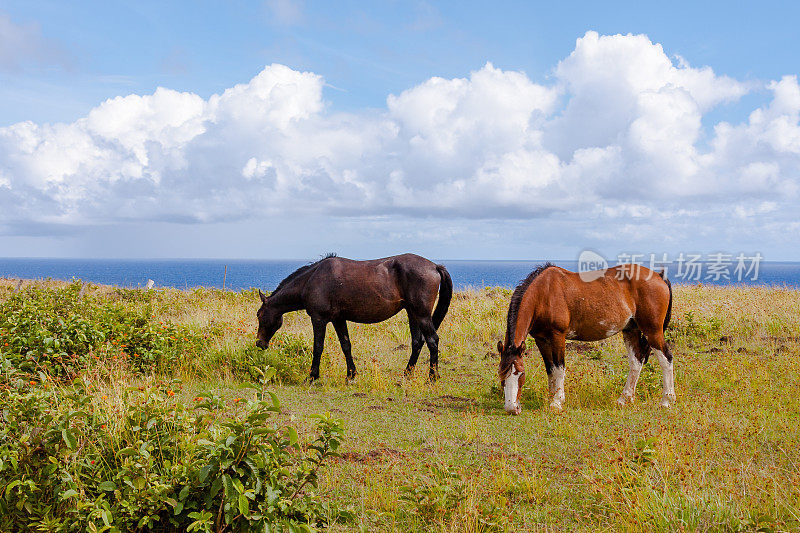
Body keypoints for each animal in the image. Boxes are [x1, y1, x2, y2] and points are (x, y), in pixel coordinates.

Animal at [255, 252, 450, 380]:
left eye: (259, 315)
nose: (259, 343)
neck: (312, 280)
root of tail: (434, 266)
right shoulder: (338, 319)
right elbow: (346, 345)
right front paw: (351, 375)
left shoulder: (318, 319)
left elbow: (318, 347)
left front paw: (312, 376)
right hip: (413, 313)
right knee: (417, 342)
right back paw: (407, 373)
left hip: (422, 315)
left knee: (432, 340)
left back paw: (433, 377)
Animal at [496, 262, 672, 416]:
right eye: (501, 374)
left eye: (520, 374)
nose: (511, 408)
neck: (544, 293)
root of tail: (659, 276)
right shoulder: (541, 339)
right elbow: (550, 368)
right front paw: (551, 396)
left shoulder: (557, 336)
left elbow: (559, 368)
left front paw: (557, 401)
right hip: (631, 330)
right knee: (636, 361)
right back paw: (624, 399)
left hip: (652, 331)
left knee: (666, 359)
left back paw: (667, 401)